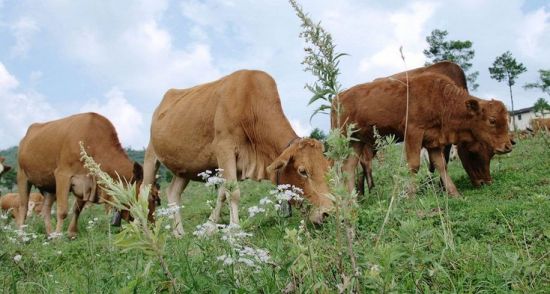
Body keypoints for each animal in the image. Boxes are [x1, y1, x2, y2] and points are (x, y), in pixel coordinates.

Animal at [17, 111, 153, 238]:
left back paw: (50, 235)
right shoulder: (62, 175)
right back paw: (22, 237)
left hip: (49, 186)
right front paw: (59, 237)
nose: (151, 225)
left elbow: (77, 209)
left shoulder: (86, 184)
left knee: (45, 210)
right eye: (149, 197)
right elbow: (62, 211)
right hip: (22, 176)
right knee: (23, 208)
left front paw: (71, 233)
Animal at [142, 69, 332, 234]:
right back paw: (146, 233)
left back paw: (178, 232)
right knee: (145, 193)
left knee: (173, 192)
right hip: (151, 156)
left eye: (327, 168)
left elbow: (222, 193)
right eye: (302, 171)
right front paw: (235, 231)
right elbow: (233, 193)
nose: (327, 213)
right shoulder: (224, 149)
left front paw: (209, 229)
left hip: (184, 168)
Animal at [338, 71, 516, 196]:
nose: (508, 146)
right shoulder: (413, 133)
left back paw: (353, 200)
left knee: (349, 168)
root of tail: (339, 96)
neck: (442, 100)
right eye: (492, 120)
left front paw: (454, 193)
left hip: (356, 142)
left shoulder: (434, 140)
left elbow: (441, 165)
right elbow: (414, 166)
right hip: (346, 141)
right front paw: (410, 196)